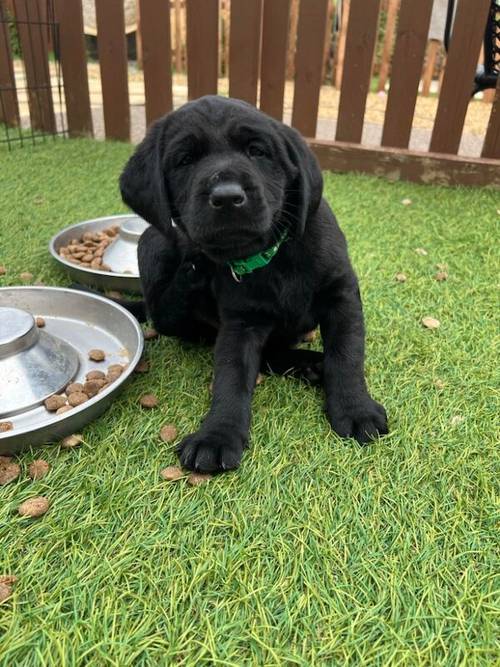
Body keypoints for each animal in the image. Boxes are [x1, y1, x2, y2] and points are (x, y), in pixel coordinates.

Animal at [120, 95, 386, 474]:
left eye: (257, 151)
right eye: (185, 160)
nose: (227, 196)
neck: (270, 256)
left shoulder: (341, 296)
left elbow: (346, 355)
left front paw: (354, 408)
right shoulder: (241, 321)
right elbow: (231, 376)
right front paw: (217, 435)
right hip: (153, 242)